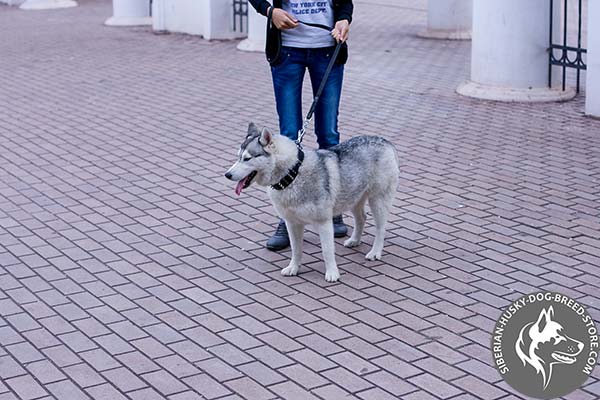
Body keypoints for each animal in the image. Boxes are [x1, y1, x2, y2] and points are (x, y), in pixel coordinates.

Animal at [225, 123, 398, 282]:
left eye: (247, 158)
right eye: (238, 157)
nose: (227, 174)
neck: (292, 175)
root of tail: (386, 141)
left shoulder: (324, 222)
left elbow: (327, 251)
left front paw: (332, 273)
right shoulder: (292, 223)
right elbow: (296, 249)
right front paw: (294, 268)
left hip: (377, 200)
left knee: (380, 229)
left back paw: (375, 252)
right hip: (354, 198)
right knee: (362, 218)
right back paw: (355, 240)